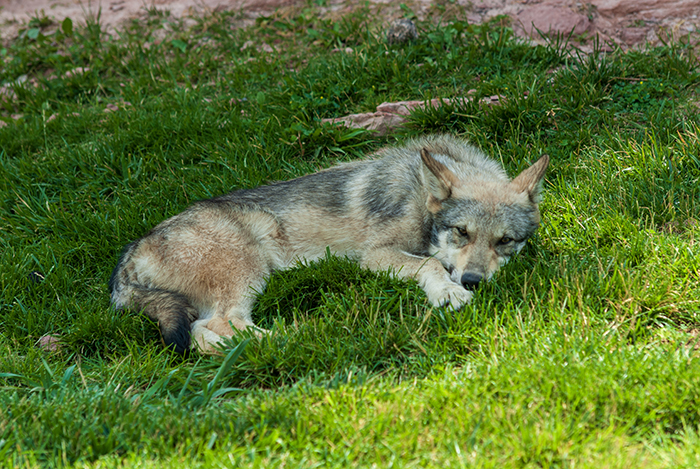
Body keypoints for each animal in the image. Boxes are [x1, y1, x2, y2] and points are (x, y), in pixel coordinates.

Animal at [110, 135, 549, 354]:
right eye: (461, 231)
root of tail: (131, 253)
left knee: (206, 336)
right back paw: (303, 334)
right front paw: (449, 294)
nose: (474, 280)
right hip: (249, 269)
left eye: (505, 241)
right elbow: (430, 264)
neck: (420, 195)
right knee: (219, 326)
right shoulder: (374, 255)